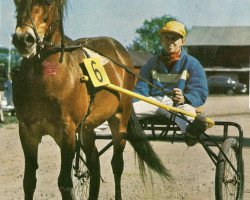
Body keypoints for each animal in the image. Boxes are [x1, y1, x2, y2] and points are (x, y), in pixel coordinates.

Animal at [11, 0, 172, 199]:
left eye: (48, 3)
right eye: (16, 2)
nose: (23, 39)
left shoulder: (67, 132)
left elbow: (65, 183)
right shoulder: (27, 130)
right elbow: (29, 182)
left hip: (119, 120)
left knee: (117, 164)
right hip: (87, 128)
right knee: (94, 164)